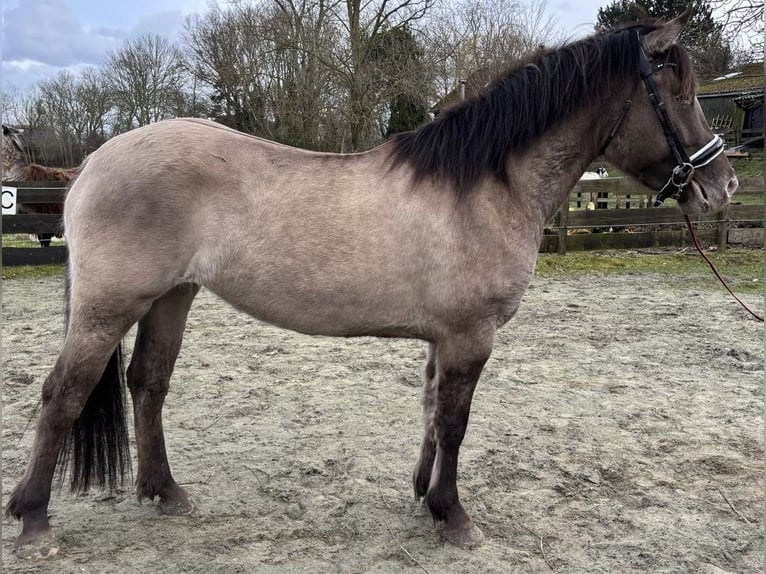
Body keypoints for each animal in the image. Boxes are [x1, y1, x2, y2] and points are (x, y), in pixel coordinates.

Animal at [4, 7, 736, 560]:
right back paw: (35, 520)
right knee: (63, 396)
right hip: (109, 306)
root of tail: (93, 162)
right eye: (681, 95)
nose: (722, 185)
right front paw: (454, 515)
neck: (485, 187)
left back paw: (165, 492)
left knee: (148, 385)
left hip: (170, 299)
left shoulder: (445, 340)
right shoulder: (471, 338)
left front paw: (424, 498)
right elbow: (456, 422)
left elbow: (433, 413)